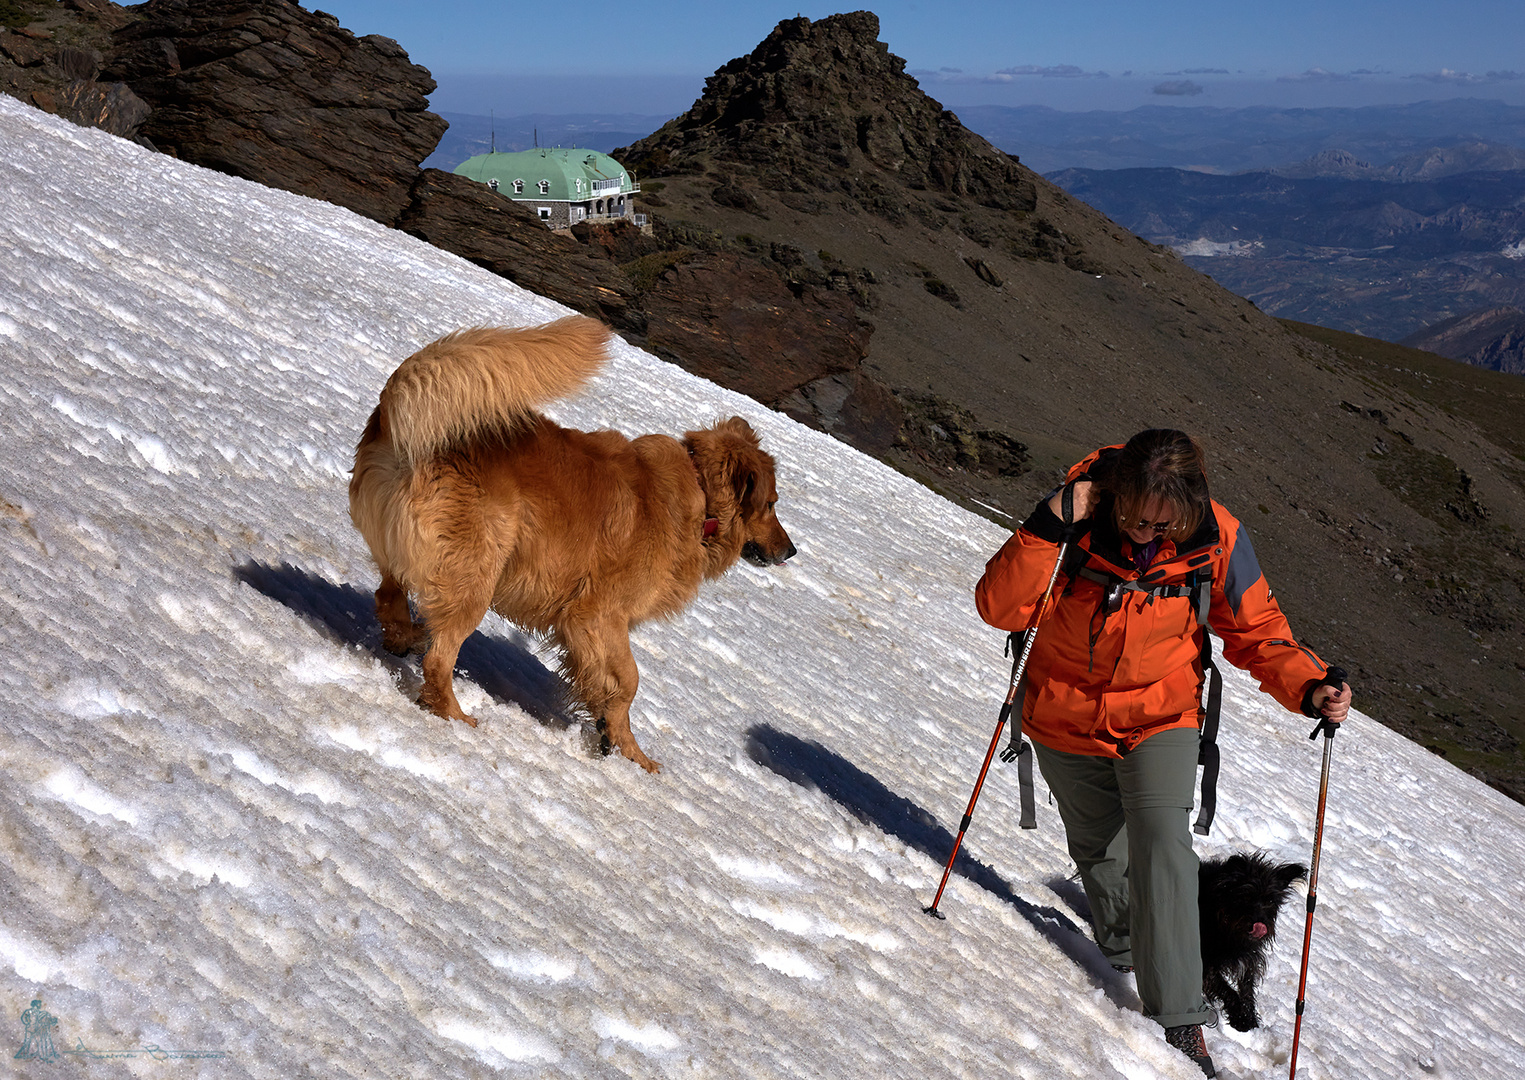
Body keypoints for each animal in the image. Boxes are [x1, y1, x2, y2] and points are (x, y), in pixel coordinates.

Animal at [347, 315, 799, 771]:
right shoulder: (596, 616)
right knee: (439, 657)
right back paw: (453, 713)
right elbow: (630, 681)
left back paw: (406, 638)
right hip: (477, 575)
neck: (701, 491)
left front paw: (613, 736)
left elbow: (606, 684)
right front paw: (629, 751)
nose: (791, 550)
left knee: (389, 597)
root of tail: (400, 423)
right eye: (771, 504)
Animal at [1195, 854, 1305, 1031]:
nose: (1260, 925)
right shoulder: (1206, 964)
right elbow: (1228, 990)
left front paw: (1249, 1017)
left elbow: (1247, 989)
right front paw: (1239, 1017)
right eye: (1246, 896)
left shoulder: (1249, 959)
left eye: (1270, 901)